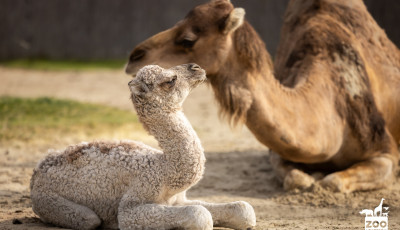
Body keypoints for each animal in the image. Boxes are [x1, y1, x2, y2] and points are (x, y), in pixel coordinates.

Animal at [31, 63, 256, 230]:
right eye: (169, 80)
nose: (196, 67)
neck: (164, 172)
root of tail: (37, 171)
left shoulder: (178, 199)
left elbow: (243, 209)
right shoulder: (134, 201)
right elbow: (200, 215)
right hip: (50, 201)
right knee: (89, 219)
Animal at [125, 0, 400, 192]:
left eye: (188, 39)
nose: (133, 57)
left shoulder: (385, 151)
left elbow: (333, 182)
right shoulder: (278, 154)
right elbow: (296, 179)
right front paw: (311, 176)